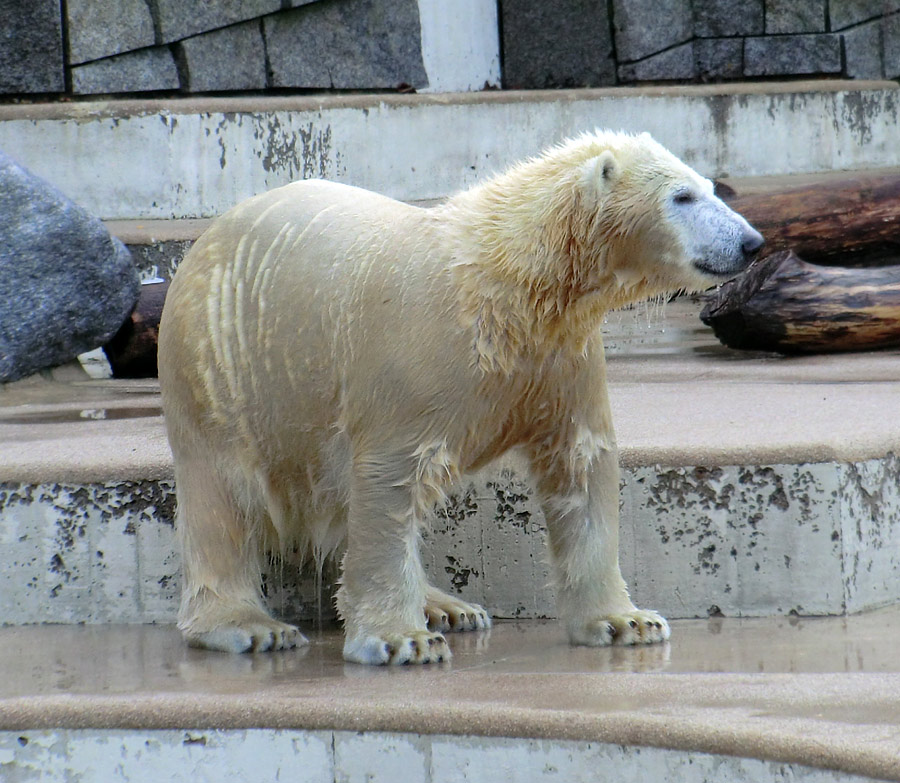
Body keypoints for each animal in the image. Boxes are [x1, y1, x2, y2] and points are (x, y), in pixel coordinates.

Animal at [158, 132, 764, 664]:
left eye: (711, 188)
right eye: (681, 196)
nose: (751, 243)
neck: (513, 282)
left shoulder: (559, 359)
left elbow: (581, 465)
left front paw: (627, 621)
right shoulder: (414, 355)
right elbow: (391, 477)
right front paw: (400, 641)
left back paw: (448, 606)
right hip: (222, 369)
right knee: (221, 497)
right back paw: (252, 626)